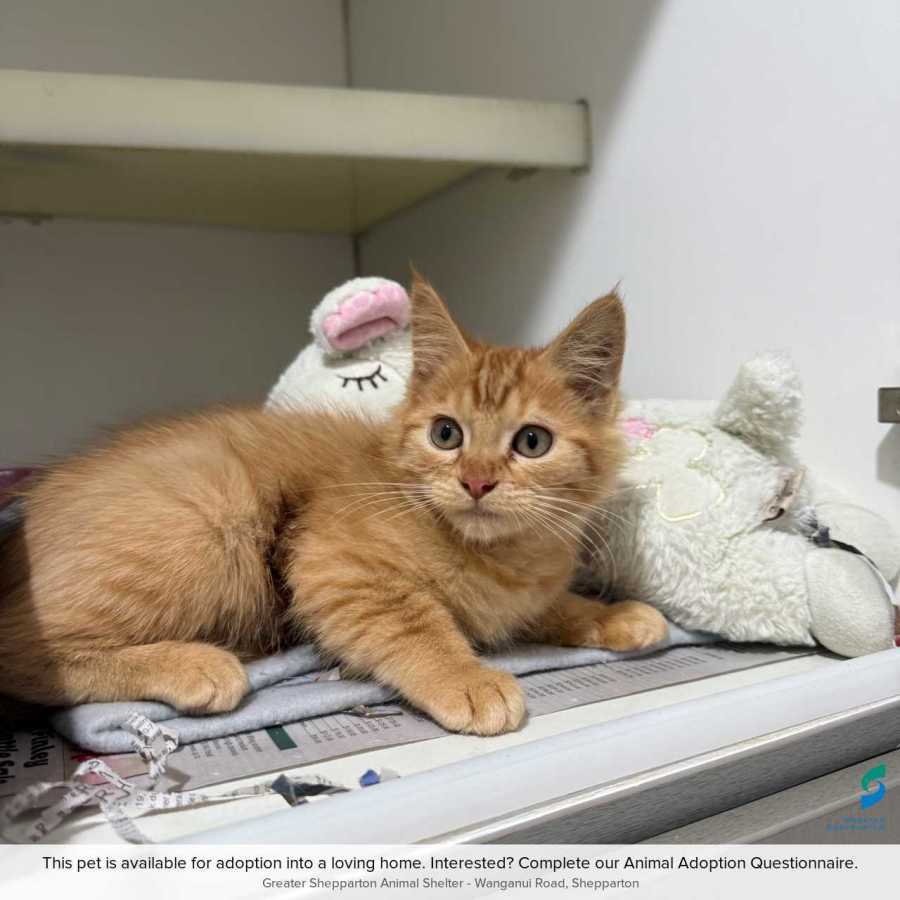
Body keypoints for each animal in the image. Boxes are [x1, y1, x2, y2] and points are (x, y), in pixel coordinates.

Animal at [0, 277, 666, 735]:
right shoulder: (335, 568)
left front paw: (611, 615)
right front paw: (467, 678)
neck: (500, 557)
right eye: (446, 434)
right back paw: (192, 665)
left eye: (532, 442)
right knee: (18, 650)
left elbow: (549, 608)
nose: (476, 482)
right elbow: (417, 624)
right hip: (212, 520)